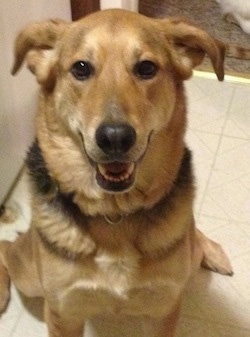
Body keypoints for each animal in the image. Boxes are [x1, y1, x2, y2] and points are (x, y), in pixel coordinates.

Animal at [0, 8, 232, 336]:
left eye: (146, 68)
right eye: (81, 68)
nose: (115, 138)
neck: (115, 214)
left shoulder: (164, 310)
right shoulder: (63, 314)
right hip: (30, 276)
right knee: (6, 247)